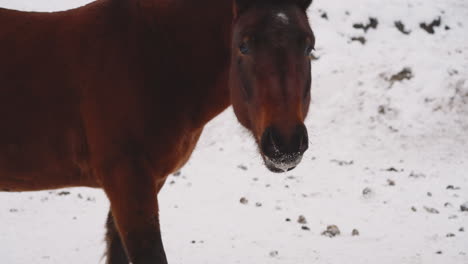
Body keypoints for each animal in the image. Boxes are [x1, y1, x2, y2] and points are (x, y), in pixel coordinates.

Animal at [0, 0, 314, 262]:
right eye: (244, 46)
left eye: (309, 46)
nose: (286, 143)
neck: (153, 58)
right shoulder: (126, 180)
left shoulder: (148, 181)